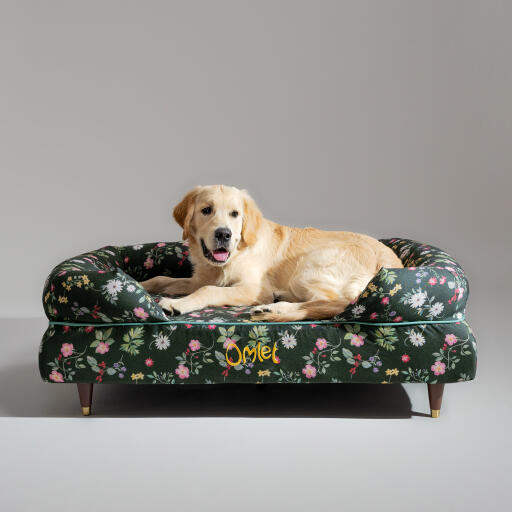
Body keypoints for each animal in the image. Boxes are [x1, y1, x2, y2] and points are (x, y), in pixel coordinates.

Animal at [140, 184, 404, 320]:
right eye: (206, 210)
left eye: (235, 214)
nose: (224, 234)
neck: (236, 253)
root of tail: (392, 263)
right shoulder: (200, 278)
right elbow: (163, 279)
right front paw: (140, 285)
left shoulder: (253, 289)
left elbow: (208, 290)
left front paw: (177, 304)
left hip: (309, 267)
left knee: (336, 303)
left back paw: (273, 309)